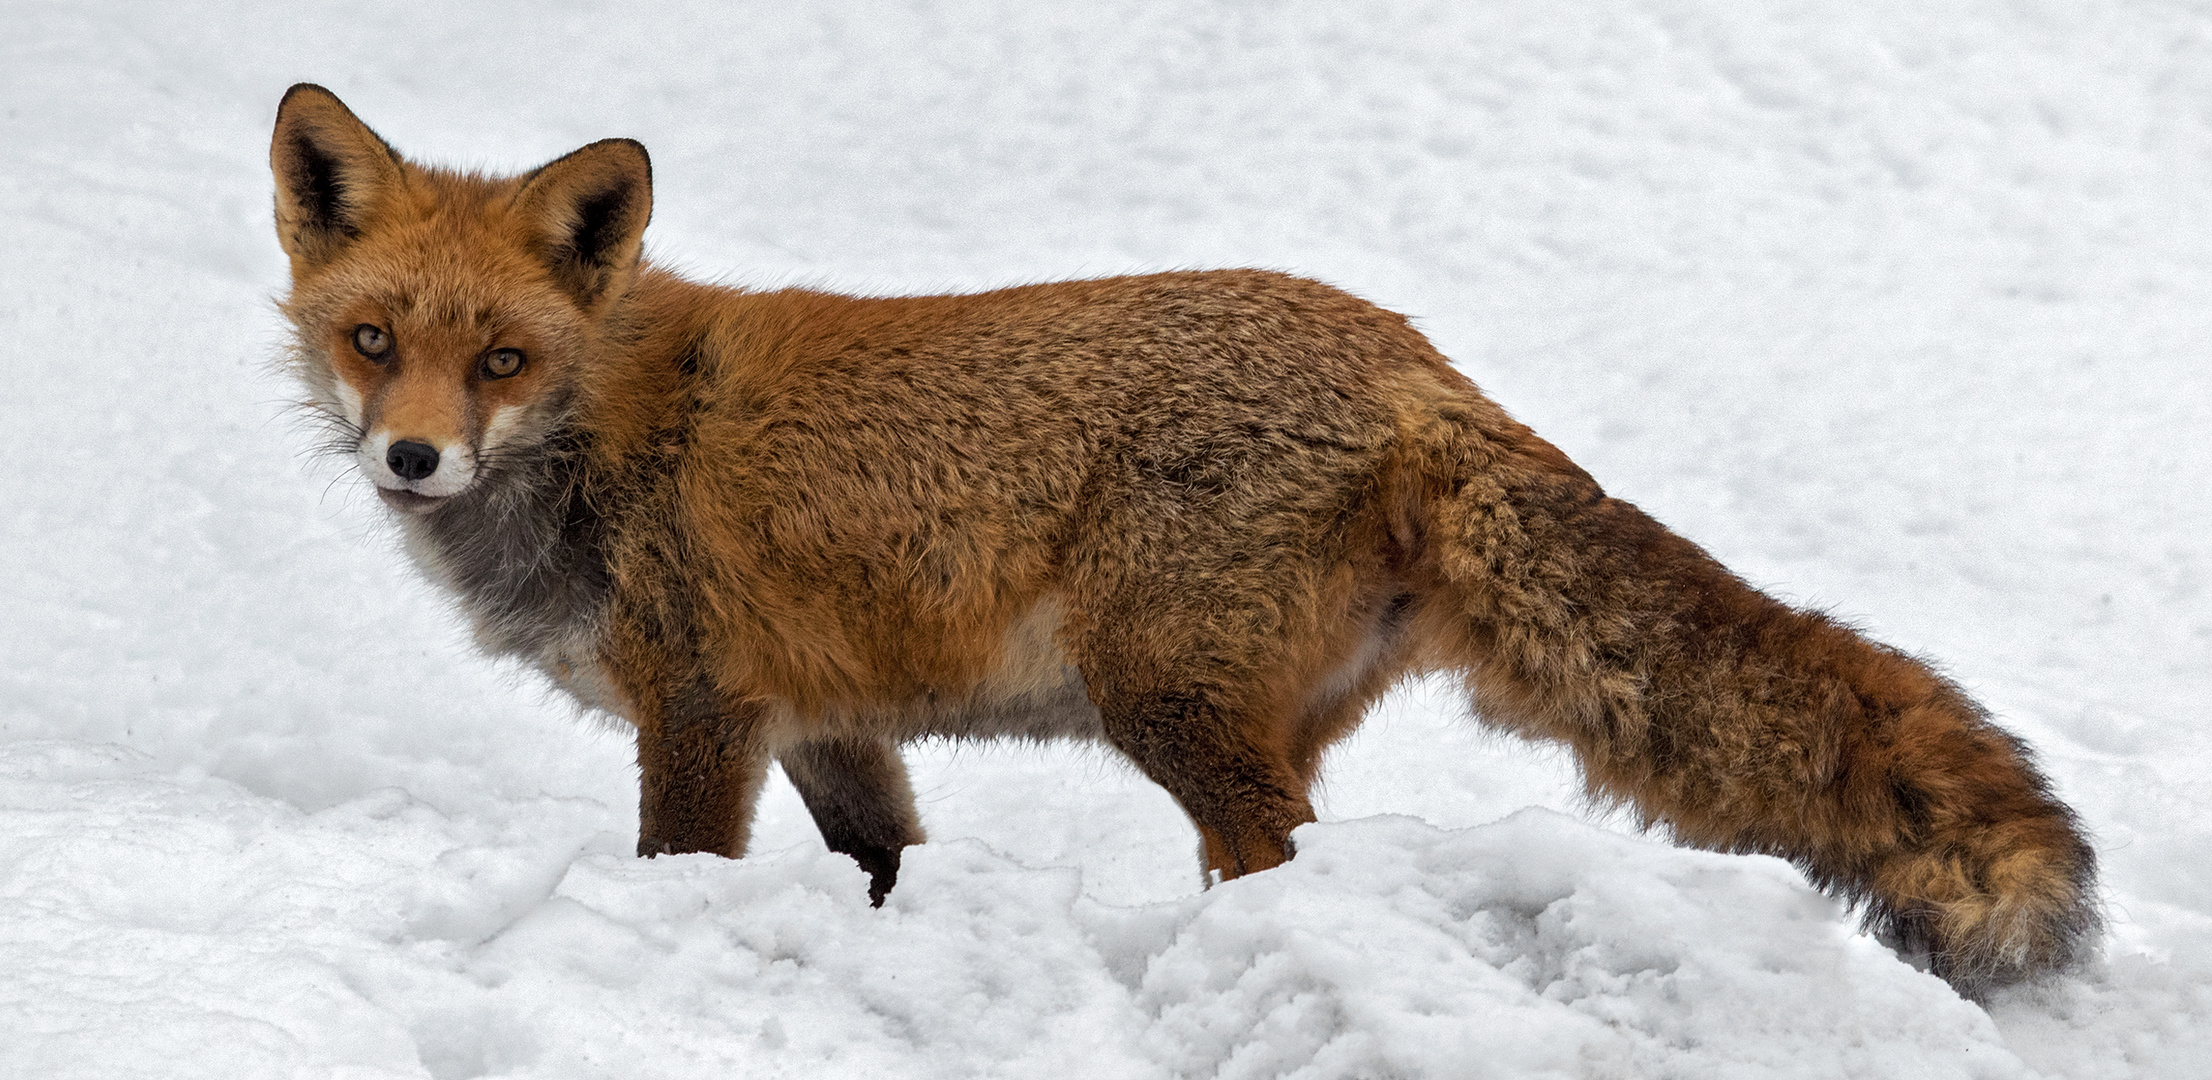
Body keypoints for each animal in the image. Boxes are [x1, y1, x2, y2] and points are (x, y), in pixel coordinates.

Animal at [272, 82, 2088, 995]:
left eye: (502, 360)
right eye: (375, 341)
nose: (415, 456)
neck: (605, 434)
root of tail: (1414, 361)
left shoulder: (702, 708)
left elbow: (685, 869)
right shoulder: (829, 723)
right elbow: (883, 869)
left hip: (1163, 699)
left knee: (1280, 855)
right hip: (1252, 715)